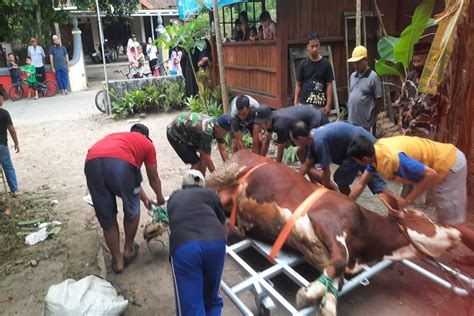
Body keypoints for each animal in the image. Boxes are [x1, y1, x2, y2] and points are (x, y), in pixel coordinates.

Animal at [206, 151, 462, 316]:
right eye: (423, 219)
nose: (455, 232)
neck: (366, 248)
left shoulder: (325, 256)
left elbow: (336, 280)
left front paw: (327, 303)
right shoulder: (327, 221)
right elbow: (339, 260)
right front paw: (309, 294)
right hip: (224, 174)